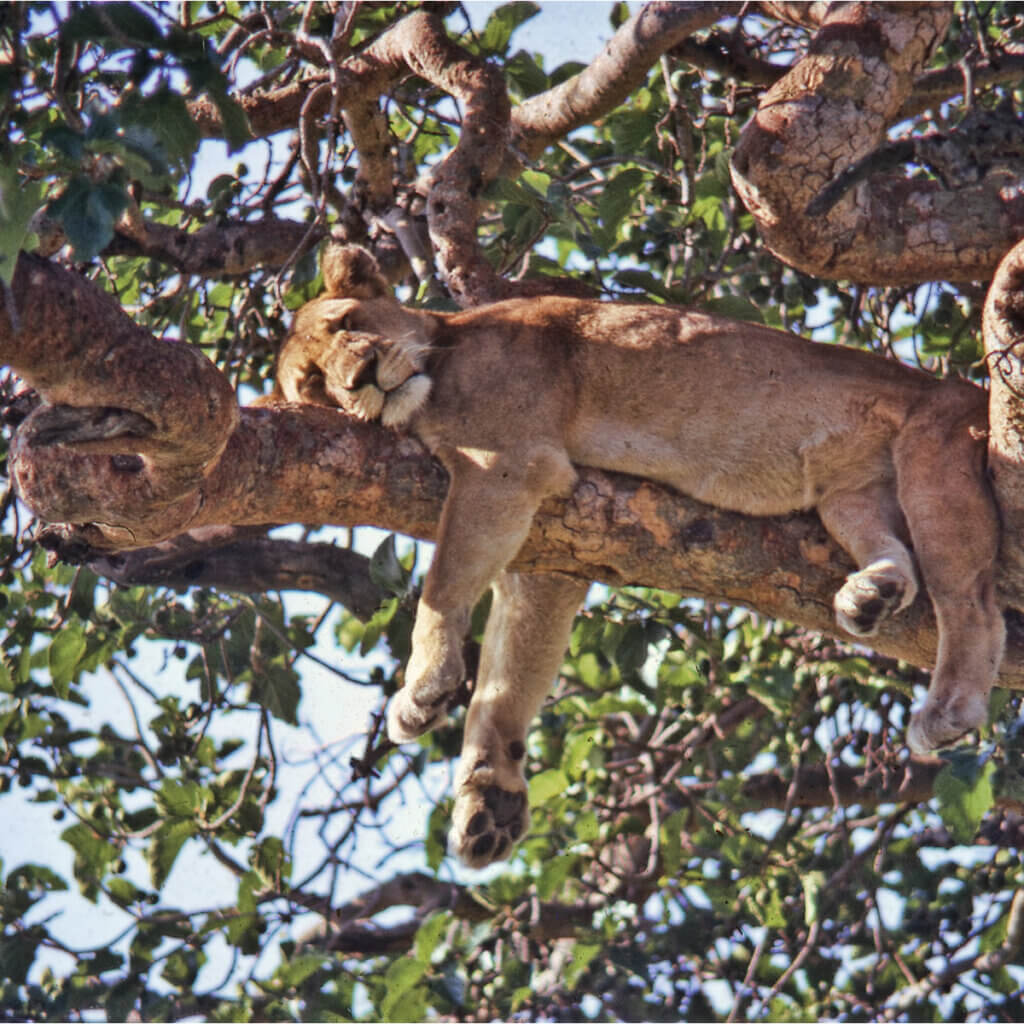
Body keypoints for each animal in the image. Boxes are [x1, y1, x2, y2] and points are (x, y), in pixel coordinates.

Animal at [273, 243, 1005, 868]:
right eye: (314, 384)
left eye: (347, 322)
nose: (361, 378)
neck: (442, 354)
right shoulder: (545, 554)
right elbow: (508, 677)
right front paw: (491, 796)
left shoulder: (505, 465)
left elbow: (442, 587)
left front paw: (423, 686)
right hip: (850, 497)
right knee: (896, 552)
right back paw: (871, 593)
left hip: (935, 450)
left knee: (974, 603)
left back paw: (947, 711)